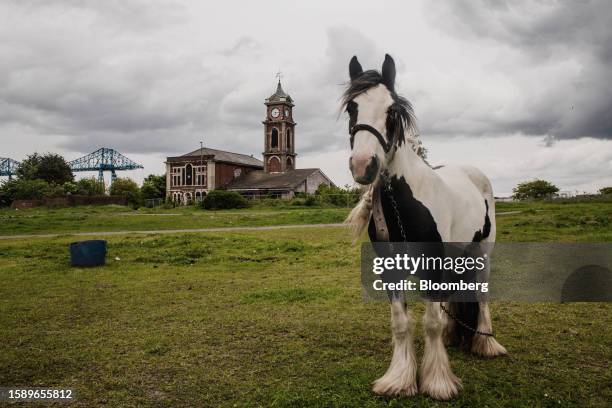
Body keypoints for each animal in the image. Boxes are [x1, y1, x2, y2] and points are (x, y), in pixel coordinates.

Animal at [344, 55, 506, 402]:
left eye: (392, 111)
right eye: (352, 107)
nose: (364, 165)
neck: (405, 202)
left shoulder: (433, 265)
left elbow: (430, 322)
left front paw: (438, 383)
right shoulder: (390, 268)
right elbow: (401, 322)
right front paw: (399, 380)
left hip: (482, 255)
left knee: (482, 296)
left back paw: (486, 343)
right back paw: (456, 336)